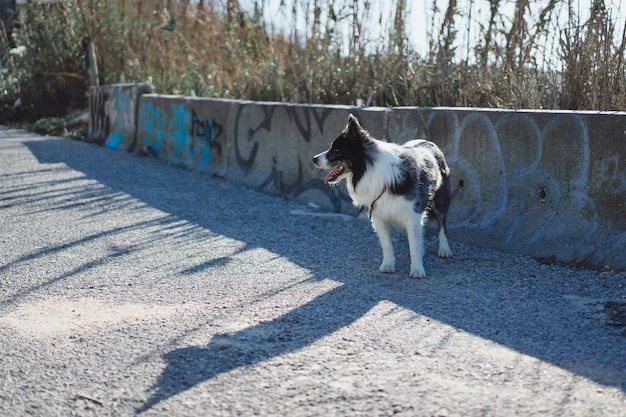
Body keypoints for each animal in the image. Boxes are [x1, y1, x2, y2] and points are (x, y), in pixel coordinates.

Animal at [310, 112, 448, 278]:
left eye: (337, 151)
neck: (370, 169)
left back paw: (444, 249)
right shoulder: (379, 215)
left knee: (442, 224)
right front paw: (388, 265)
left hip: (439, 199)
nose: (314, 159)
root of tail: (428, 142)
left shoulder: (413, 214)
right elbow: (387, 244)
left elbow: (414, 244)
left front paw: (417, 269)